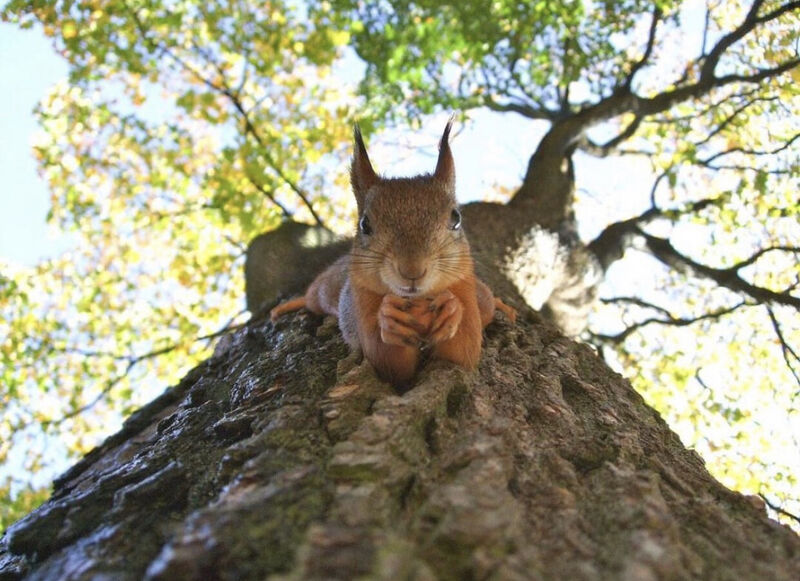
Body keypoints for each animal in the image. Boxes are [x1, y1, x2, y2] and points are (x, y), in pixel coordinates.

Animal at [272, 121, 516, 386]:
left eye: (456, 218)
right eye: (364, 224)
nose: (412, 270)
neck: (417, 302)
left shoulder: (465, 290)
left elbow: (463, 351)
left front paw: (451, 310)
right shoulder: (361, 301)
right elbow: (387, 362)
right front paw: (389, 319)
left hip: (481, 297)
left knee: (488, 301)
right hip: (325, 291)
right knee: (311, 297)